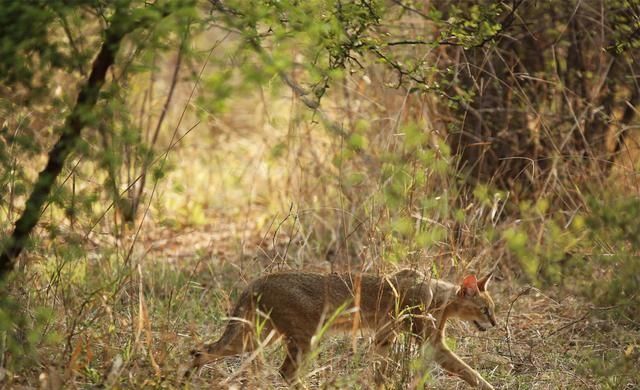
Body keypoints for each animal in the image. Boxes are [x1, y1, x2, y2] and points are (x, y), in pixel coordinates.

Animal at [188, 270, 498, 388]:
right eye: (486, 309)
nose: (494, 323)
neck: (439, 297)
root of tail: (261, 279)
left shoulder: (384, 337)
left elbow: (380, 371)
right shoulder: (431, 342)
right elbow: (468, 371)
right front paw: (489, 387)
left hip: (257, 338)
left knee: (201, 350)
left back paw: (186, 377)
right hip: (304, 338)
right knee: (286, 373)